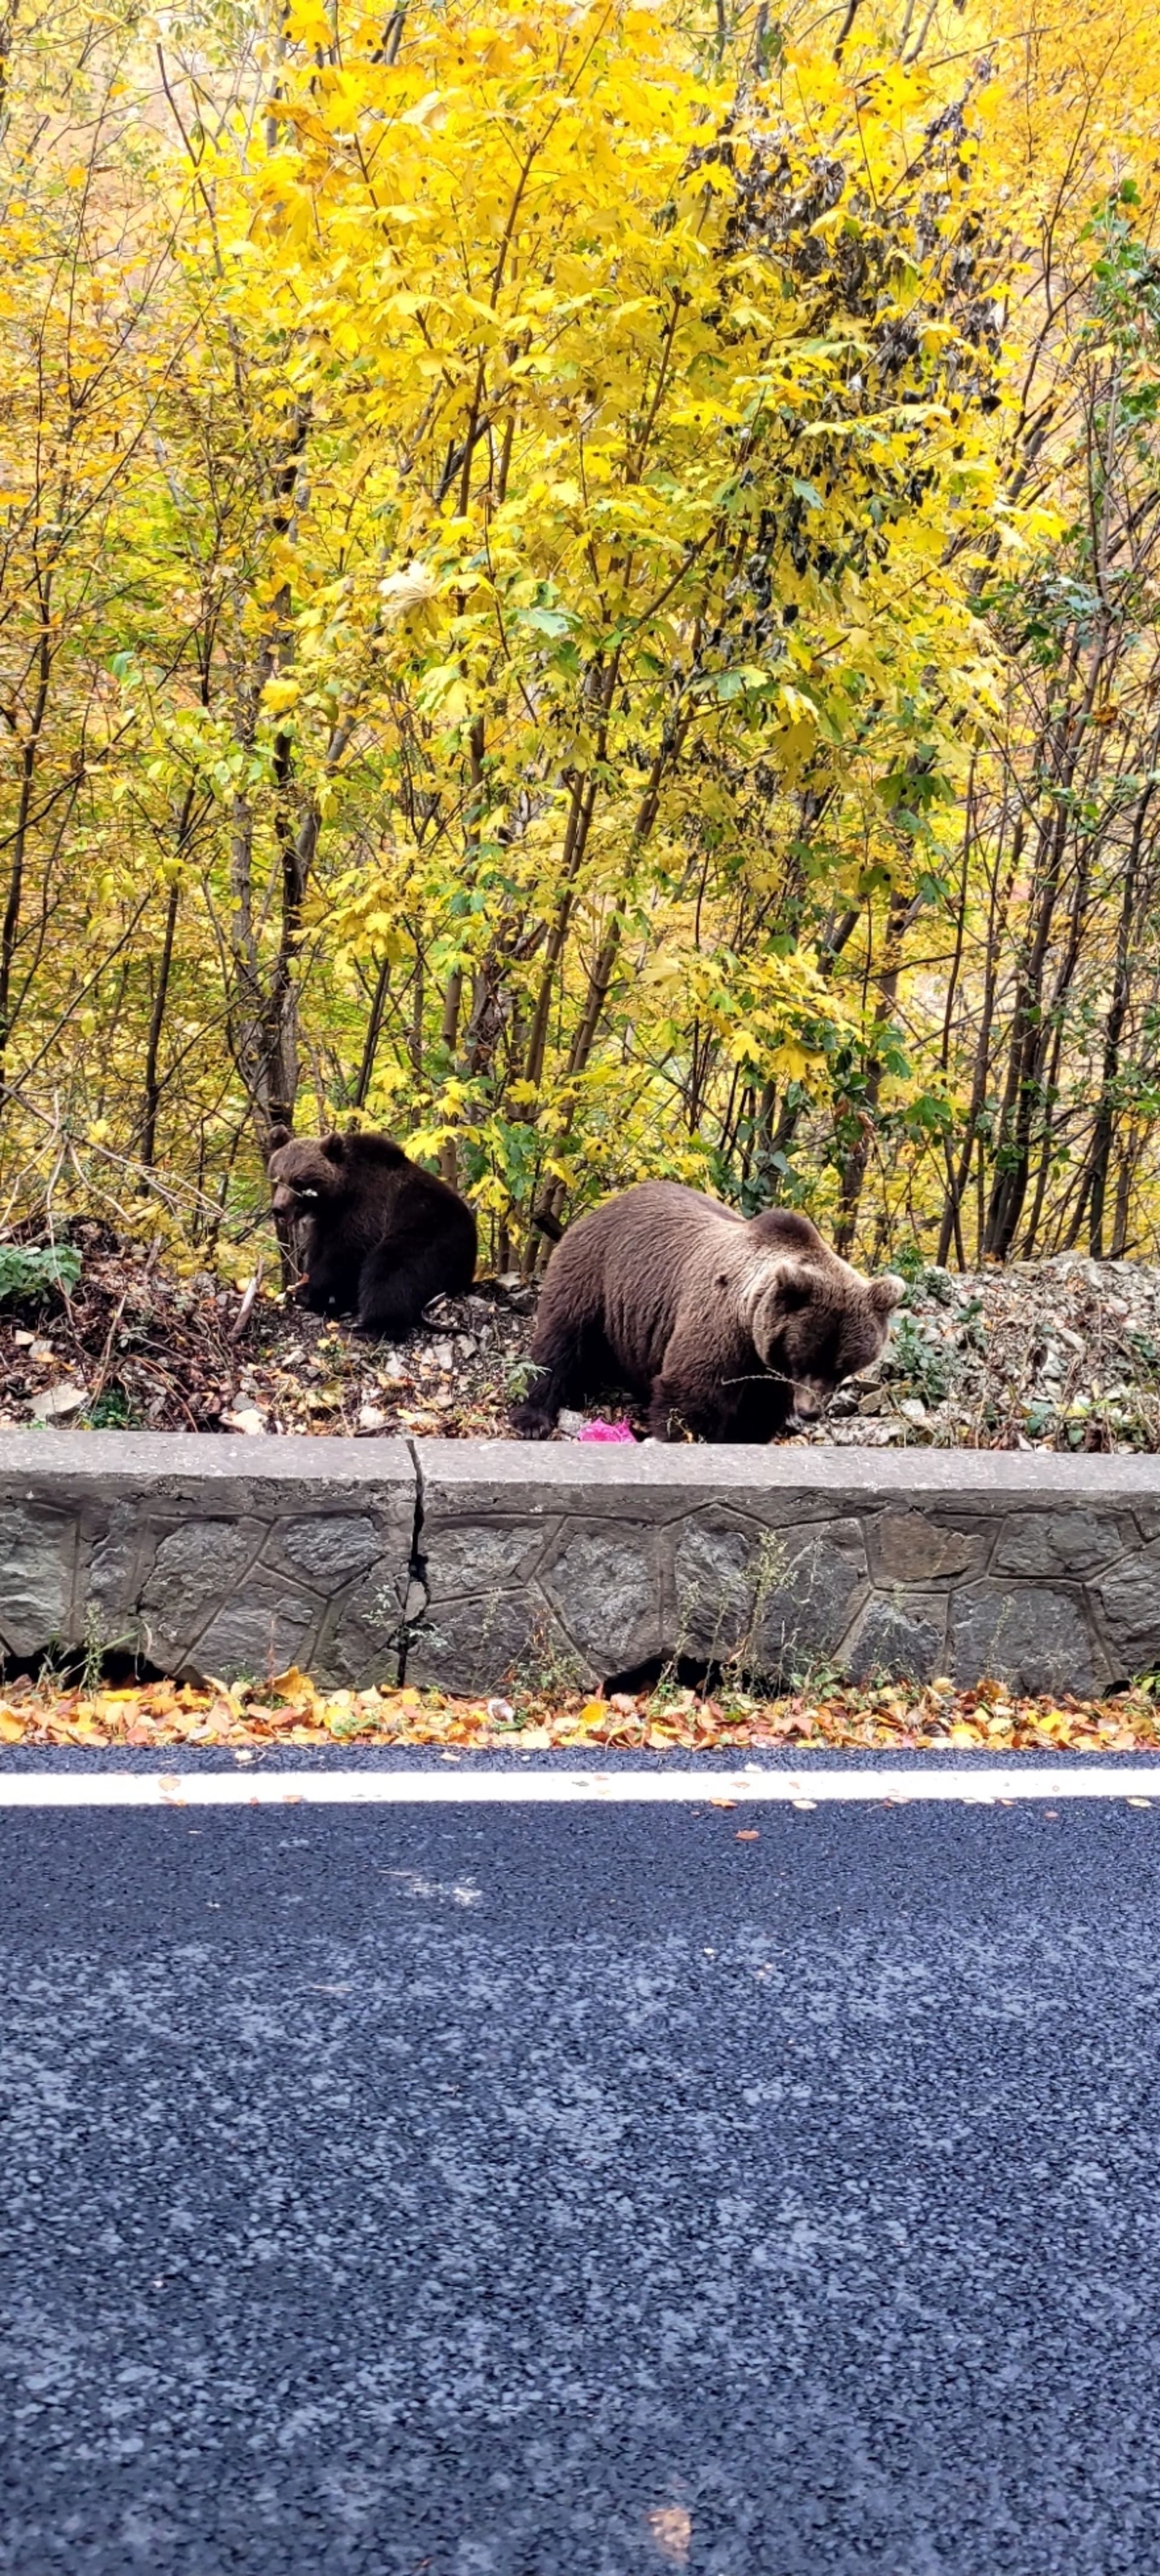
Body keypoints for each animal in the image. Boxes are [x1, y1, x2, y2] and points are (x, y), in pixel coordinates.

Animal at [267, 1127, 477, 1337]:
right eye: (278, 1178)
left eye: (298, 1181)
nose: (278, 1209)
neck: (339, 1196)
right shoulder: (328, 1221)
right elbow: (319, 1249)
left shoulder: (367, 1209)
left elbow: (345, 1255)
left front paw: (307, 1292)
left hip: (431, 1236)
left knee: (391, 1271)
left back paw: (369, 1326)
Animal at [510, 1180, 903, 1444]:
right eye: (804, 1358)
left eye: (842, 1366)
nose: (810, 1411)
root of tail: (604, 1206)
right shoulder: (720, 1328)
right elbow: (690, 1396)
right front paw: (685, 1435)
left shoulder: (767, 1372)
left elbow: (759, 1413)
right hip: (597, 1275)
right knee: (561, 1342)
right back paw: (533, 1417)